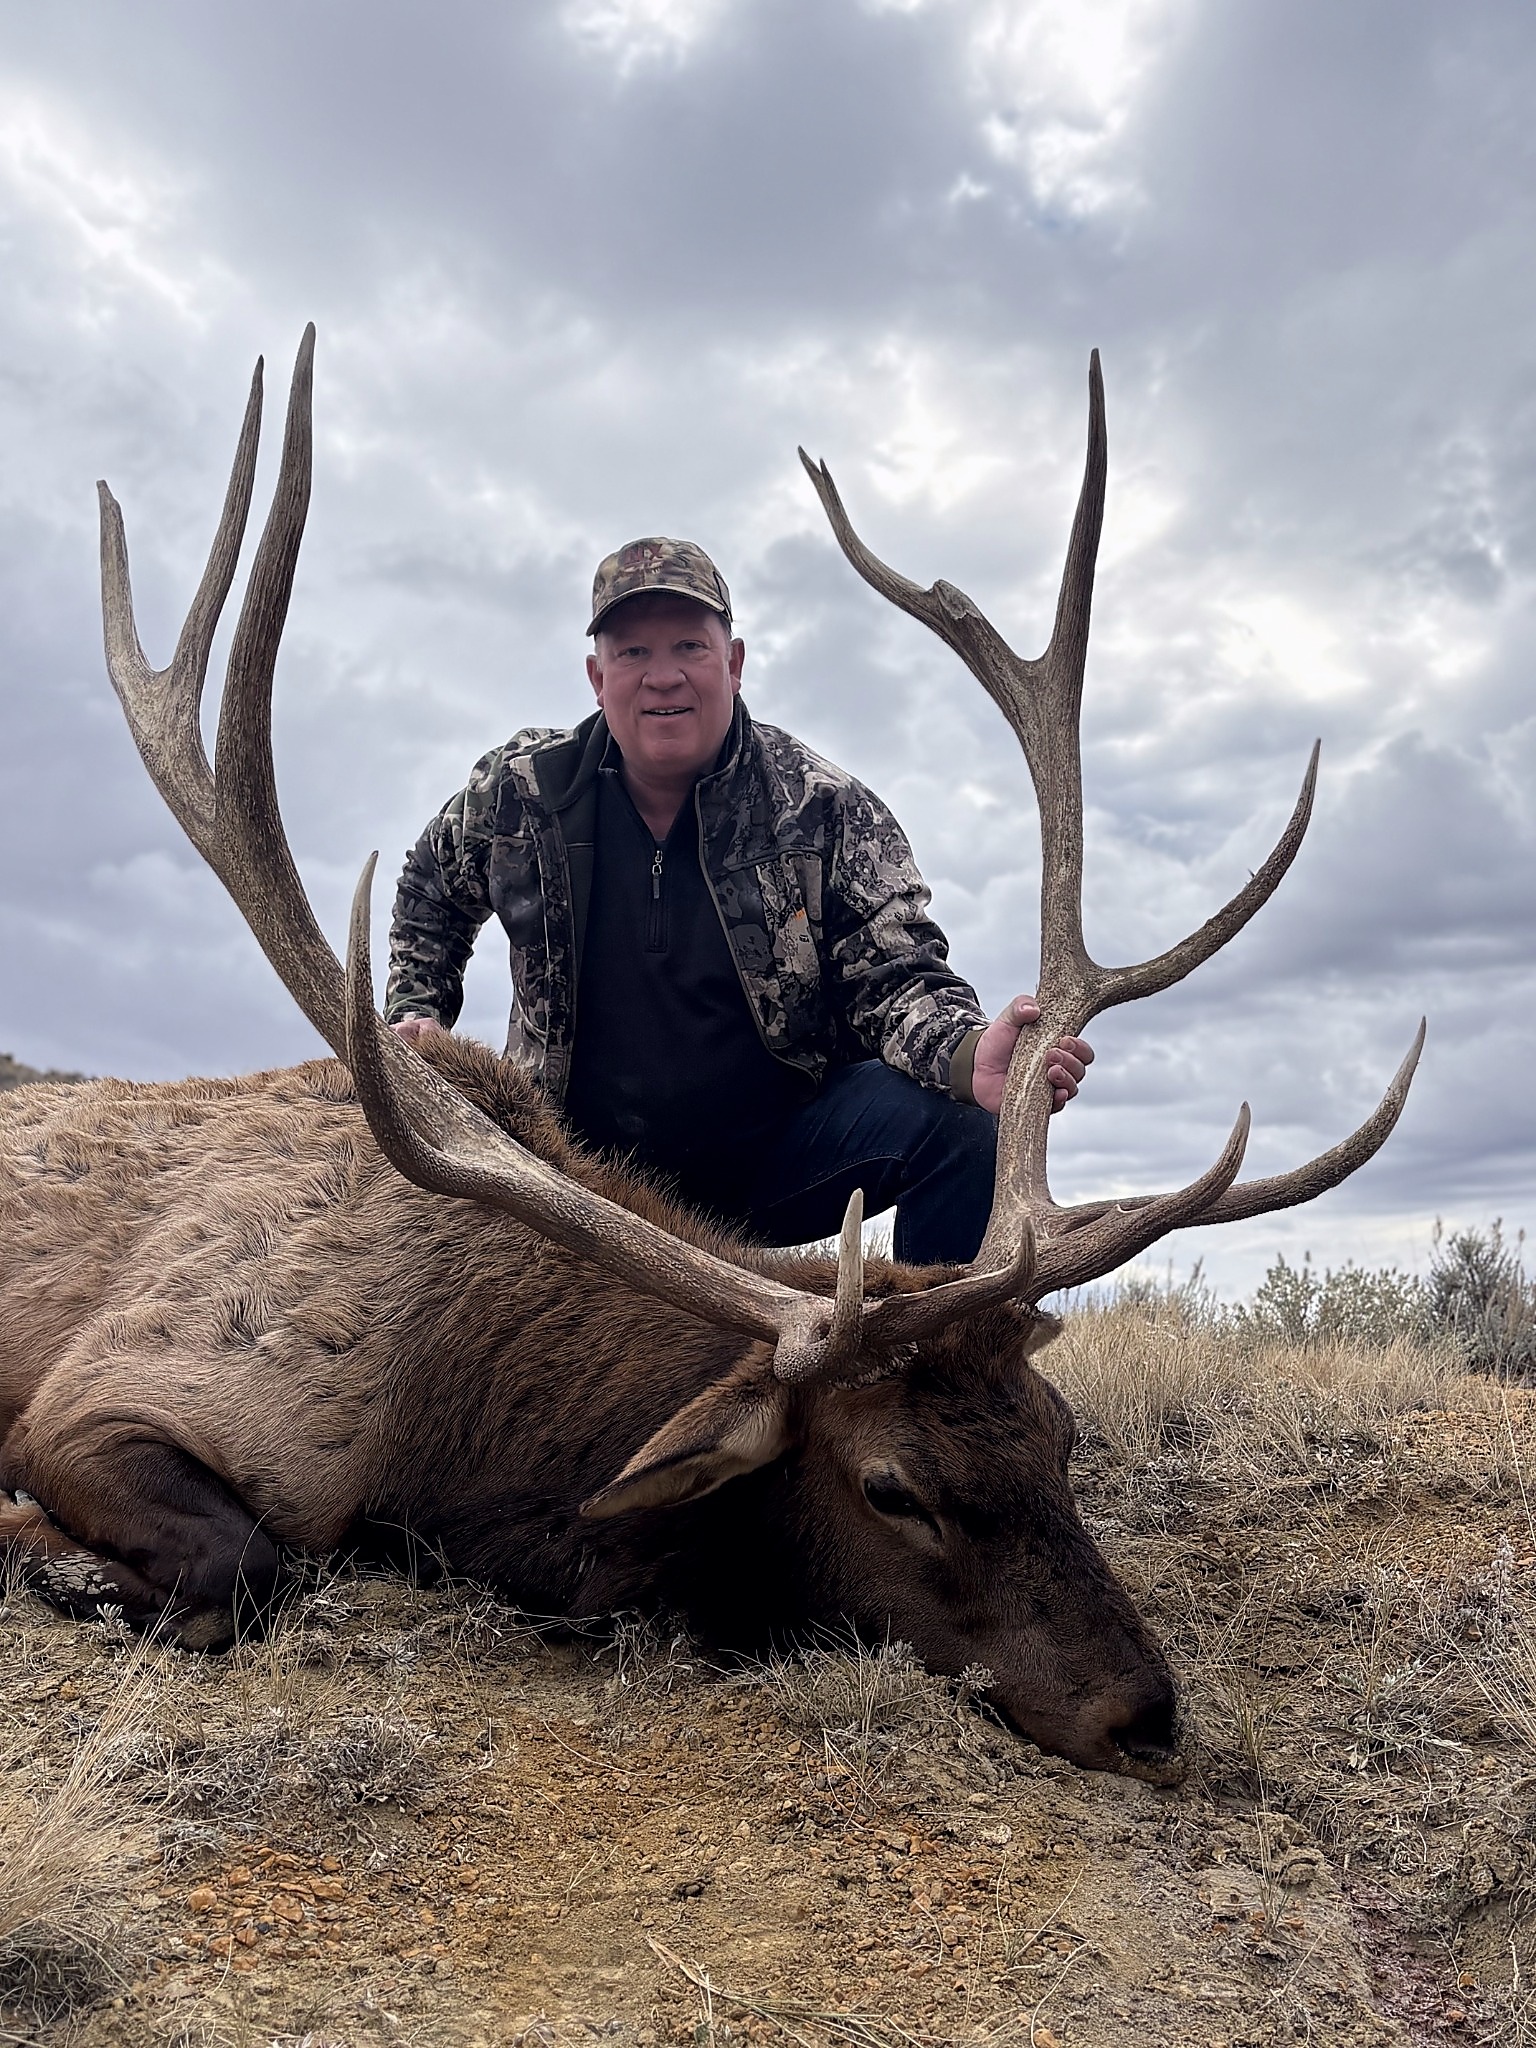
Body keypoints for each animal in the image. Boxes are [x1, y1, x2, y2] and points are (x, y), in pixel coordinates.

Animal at [0, 330, 1422, 1781]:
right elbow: (243, 1562)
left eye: (1062, 1437)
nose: (1147, 1712)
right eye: (892, 1487)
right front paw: (49, 1558)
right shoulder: (113, 1393)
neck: (443, 1428)